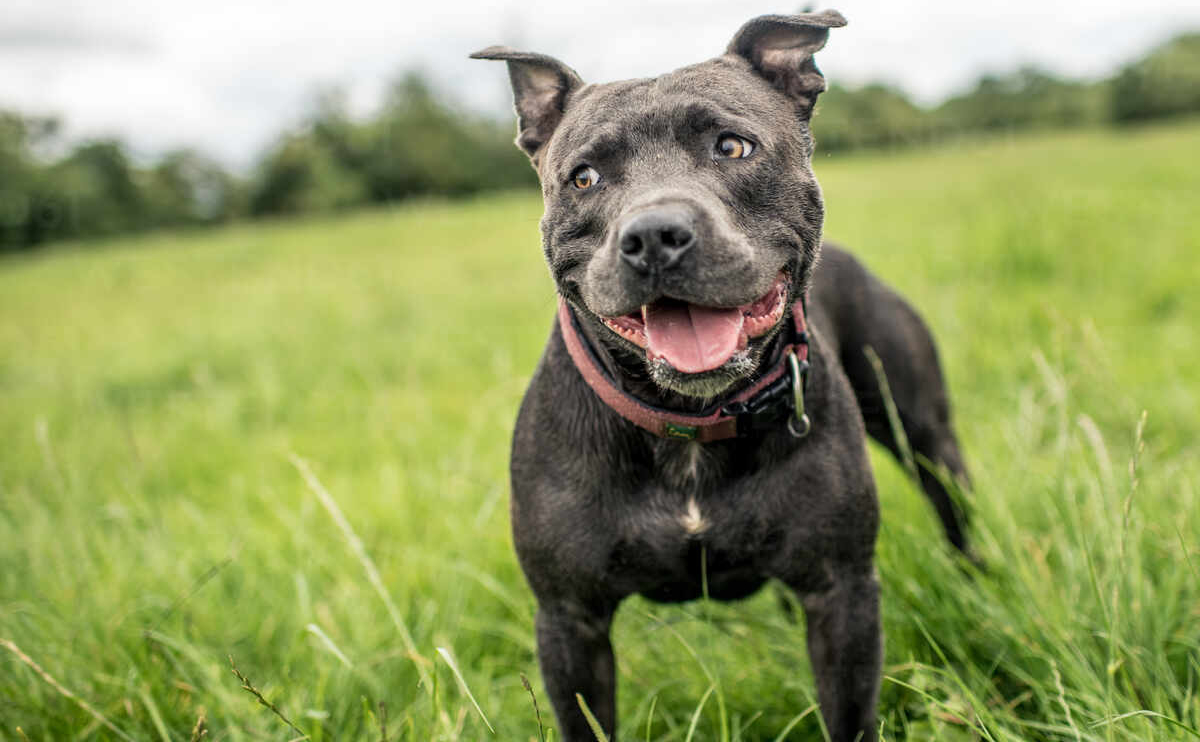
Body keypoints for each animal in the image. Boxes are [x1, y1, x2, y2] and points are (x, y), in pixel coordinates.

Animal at [472, 10, 969, 734]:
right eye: (584, 178)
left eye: (732, 147)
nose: (653, 235)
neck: (690, 419)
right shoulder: (570, 620)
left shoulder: (841, 590)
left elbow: (849, 713)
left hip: (926, 434)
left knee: (953, 508)